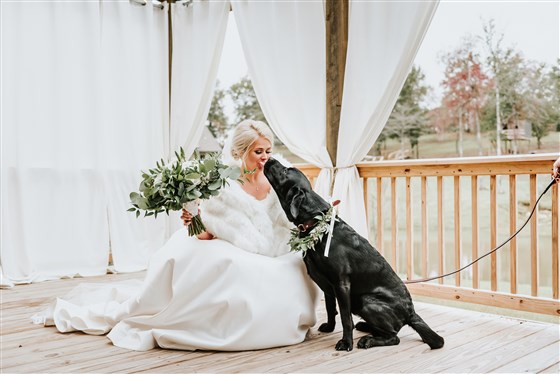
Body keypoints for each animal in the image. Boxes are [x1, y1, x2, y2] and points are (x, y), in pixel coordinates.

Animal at [264, 159, 444, 352]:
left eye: (285, 171)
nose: (269, 159)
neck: (317, 224)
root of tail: (411, 313)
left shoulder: (341, 284)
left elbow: (345, 317)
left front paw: (346, 342)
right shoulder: (326, 284)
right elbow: (330, 308)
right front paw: (329, 327)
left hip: (366, 301)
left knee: (394, 337)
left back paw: (368, 340)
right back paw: (365, 327)